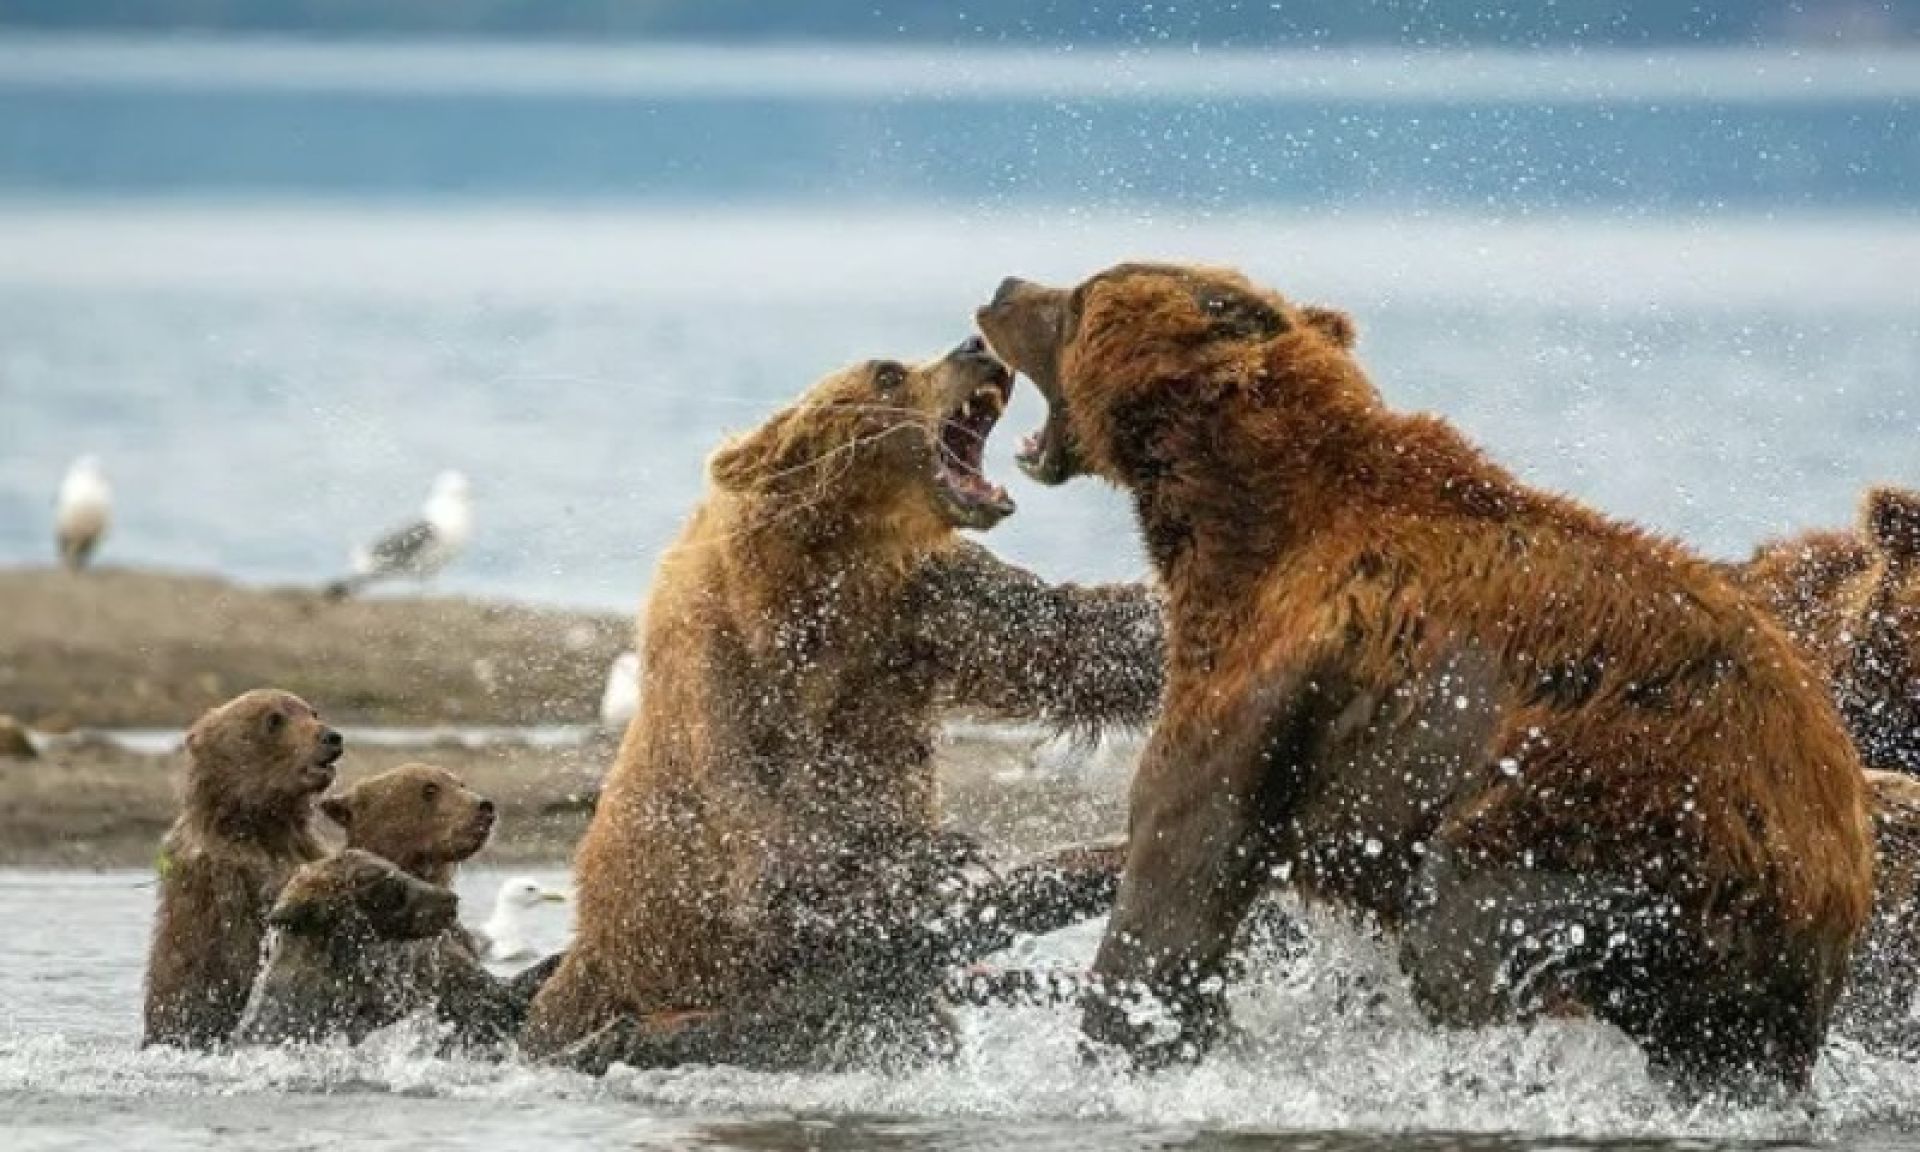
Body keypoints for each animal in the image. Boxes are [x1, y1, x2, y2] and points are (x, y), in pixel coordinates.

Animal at [521, 337, 1166, 1071]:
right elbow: (774, 861)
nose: (977, 347)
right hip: (624, 973)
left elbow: (1076, 636)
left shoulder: (924, 610)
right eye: (888, 373)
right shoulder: (722, 674)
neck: (827, 568)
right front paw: (936, 856)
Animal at [976, 263, 1873, 1096]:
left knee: (1461, 936)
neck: (1235, 516)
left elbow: (1177, 870)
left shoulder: (1262, 679)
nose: (1004, 287)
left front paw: (1121, 1045)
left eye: (1078, 298)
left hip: (1614, 809)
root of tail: (1833, 846)